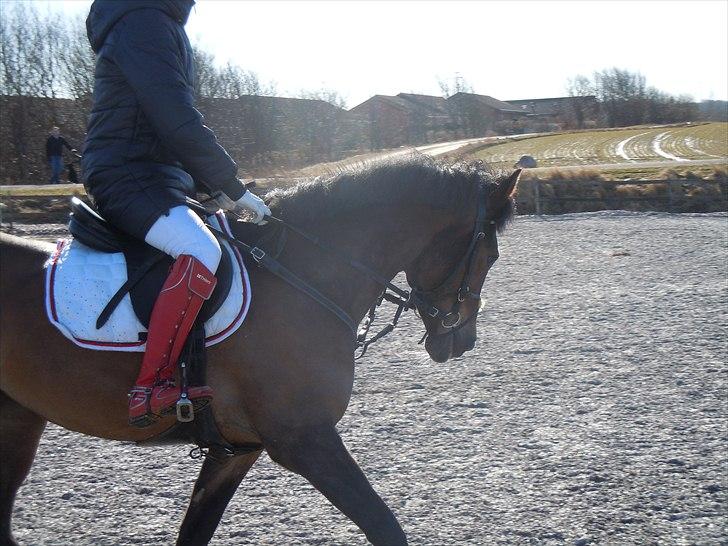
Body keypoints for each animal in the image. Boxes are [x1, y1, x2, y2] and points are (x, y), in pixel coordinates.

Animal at [0, 155, 518, 545]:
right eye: (489, 255)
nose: (462, 340)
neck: (303, 275)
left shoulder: (235, 451)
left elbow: (195, 532)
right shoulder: (305, 439)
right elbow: (385, 527)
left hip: (18, 418)